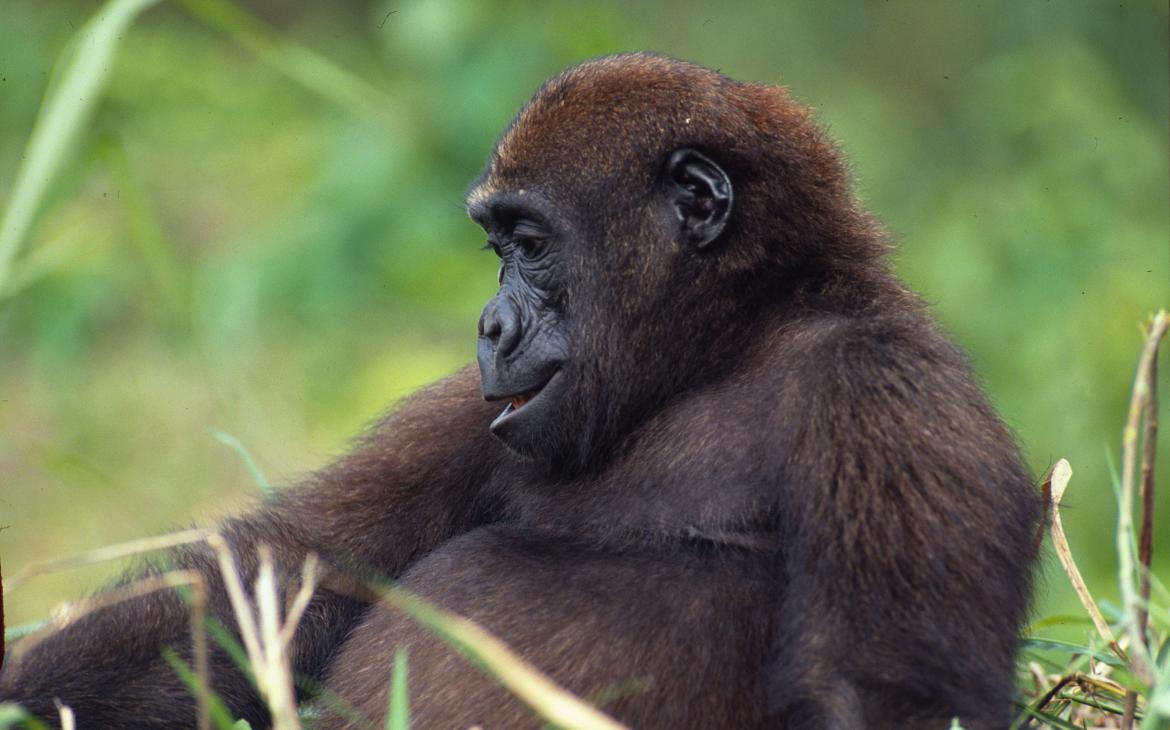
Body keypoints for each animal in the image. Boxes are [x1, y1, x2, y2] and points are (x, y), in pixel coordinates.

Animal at [0, 53, 1041, 729]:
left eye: (530, 245)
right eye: (495, 248)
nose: (490, 329)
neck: (733, 338)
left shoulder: (885, 383)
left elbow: (884, 690)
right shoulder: (473, 413)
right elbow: (262, 588)